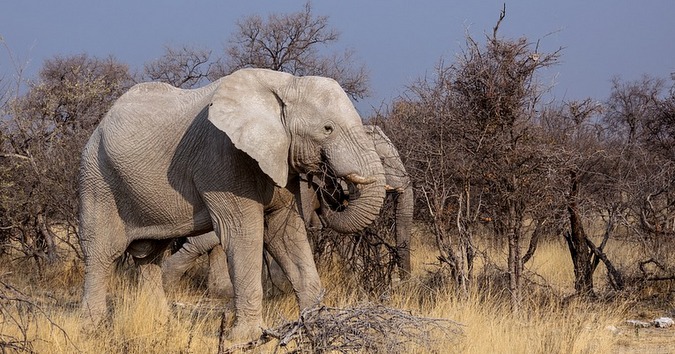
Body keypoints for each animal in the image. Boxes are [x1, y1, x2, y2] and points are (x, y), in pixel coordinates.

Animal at [77, 68, 386, 342]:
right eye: (327, 129)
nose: (329, 192)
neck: (286, 84)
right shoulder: (223, 158)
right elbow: (243, 233)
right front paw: (245, 337)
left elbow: (284, 234)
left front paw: (318, 323)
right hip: (97, 178)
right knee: (102, 252)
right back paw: (91, 328)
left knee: (150, 255)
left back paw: (160, 324)